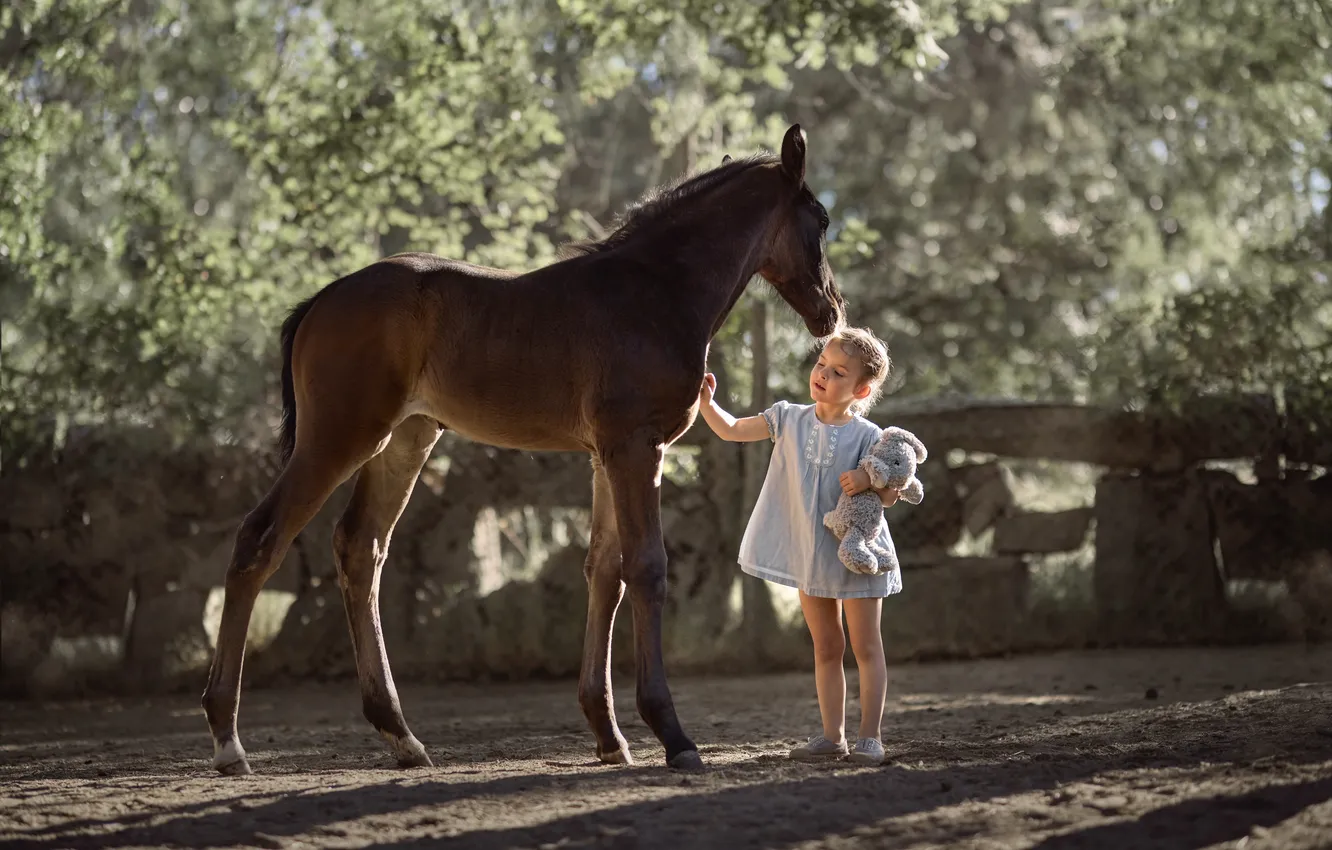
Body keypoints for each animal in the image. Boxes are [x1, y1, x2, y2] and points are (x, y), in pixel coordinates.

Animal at [201, 123, 845, 775]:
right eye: (820, 219)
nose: (831, 312)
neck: (655, 292)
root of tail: (319, 302)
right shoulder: (637, 449)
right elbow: (646, 568)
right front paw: (672, 735)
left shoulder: (606, 456)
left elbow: (603, 572)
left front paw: (609, 735)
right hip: (339, 436)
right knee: (260, 539)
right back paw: (229, 740)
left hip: (406, 438)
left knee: (361, 548)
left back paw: (401, 735)